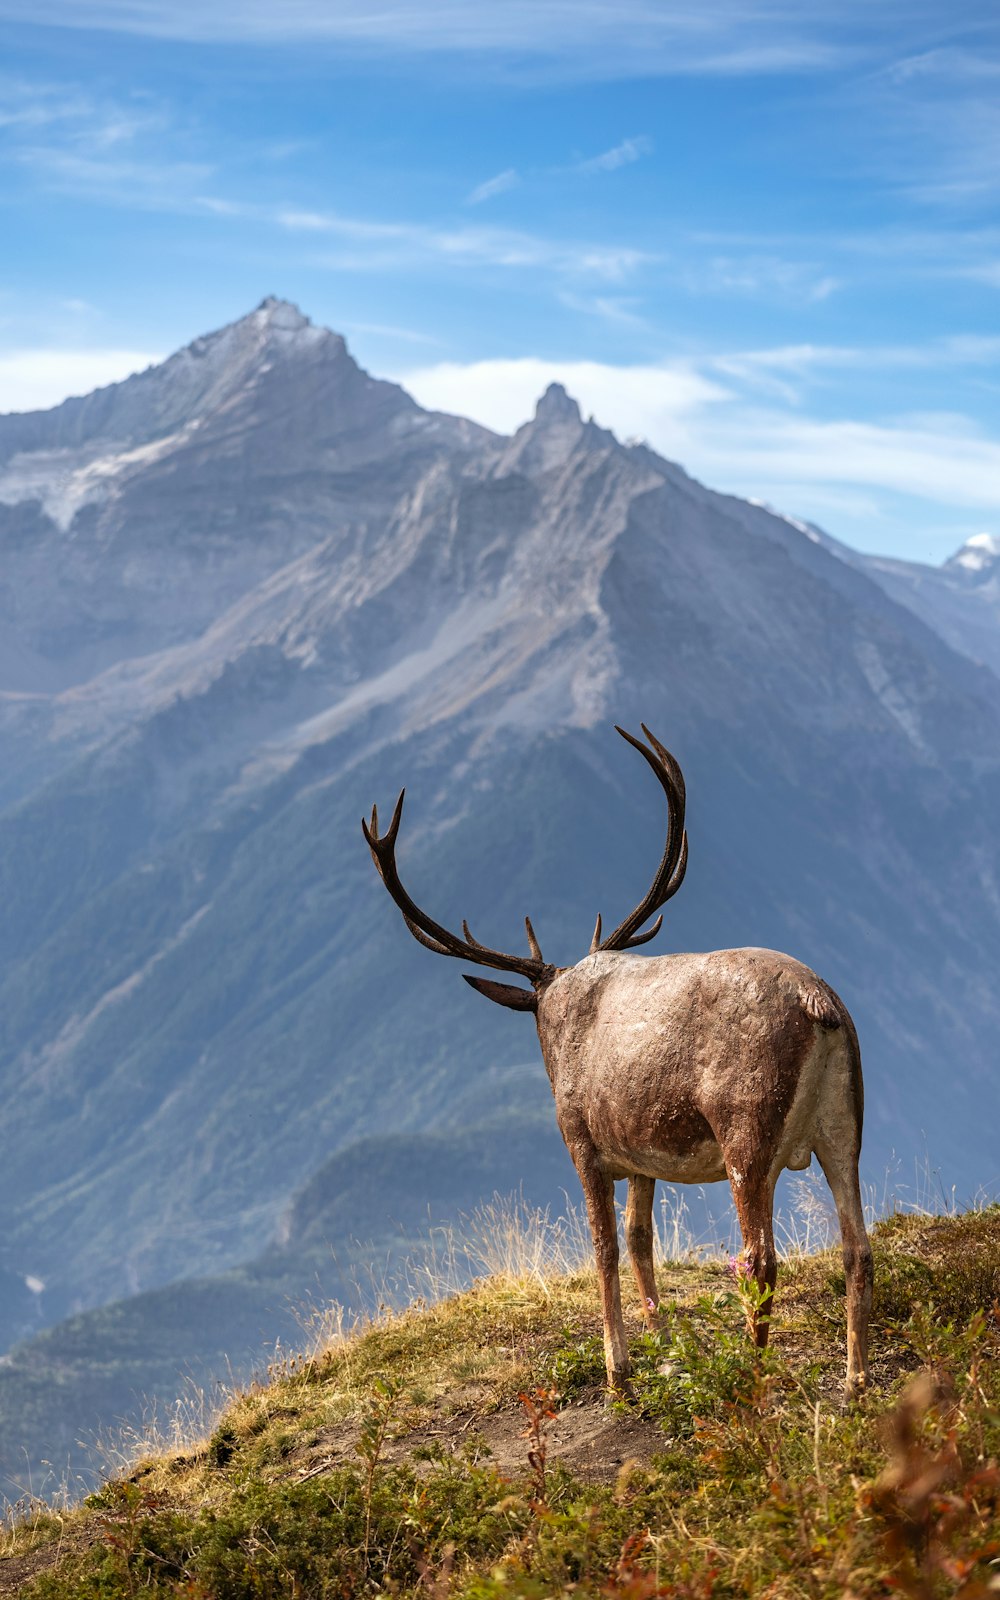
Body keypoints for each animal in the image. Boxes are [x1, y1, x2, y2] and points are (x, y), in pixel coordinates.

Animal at [363, 726, 870, 1401]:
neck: (552, 1022)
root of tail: (819, 1002)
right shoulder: (642, 1154)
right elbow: (639, 1240)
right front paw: (665, 1347)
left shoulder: (582, 1138)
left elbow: (603, 1246)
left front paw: (618, 1368)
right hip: (845, 1122)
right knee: (857, 1246)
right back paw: (856, 1377)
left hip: (747, 1128)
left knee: (760, 1258)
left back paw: (752, 1379)